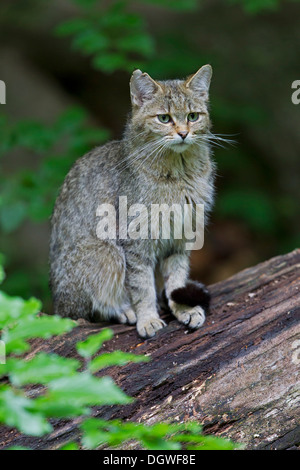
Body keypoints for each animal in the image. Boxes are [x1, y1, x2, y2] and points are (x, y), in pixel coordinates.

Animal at [49, 66, 214, 338]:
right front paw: (147, 318)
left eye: (193, 116)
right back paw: (125, 310)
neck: (179, 173)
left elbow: (177, 278)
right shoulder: (135, 241)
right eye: (164, 118)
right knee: (87, 310)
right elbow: (142, 286)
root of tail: (57, 305)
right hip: (107, 253)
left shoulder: (180, 236)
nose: (183, 133)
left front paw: (183, 308)